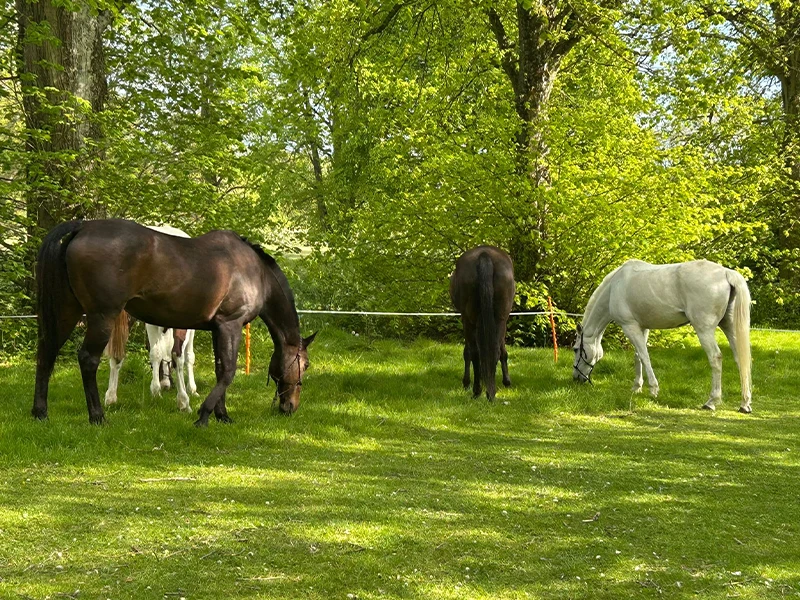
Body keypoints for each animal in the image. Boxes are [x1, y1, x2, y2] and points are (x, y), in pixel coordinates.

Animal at [449, 246, 515, 401]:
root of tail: (485, 255)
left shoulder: (465, 320)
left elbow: (468, 352)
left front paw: (466, 382)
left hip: (469, 320)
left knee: (474, 353)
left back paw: (477, 390)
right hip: (500, 319)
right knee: (494, 351)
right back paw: (490, 391)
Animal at [572, 259, 752, 413]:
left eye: (575, 349)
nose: (576, 378)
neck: (614, 287)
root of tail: (726, 273)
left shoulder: (629, 326)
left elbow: (645, 356)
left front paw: (653, 389)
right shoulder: (642, 328)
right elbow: (638, 356)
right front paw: (637, 387)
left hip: (704, 330)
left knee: (715, 358)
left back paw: (711, 401)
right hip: (729, 326)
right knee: (741, 359)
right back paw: (745, 404)